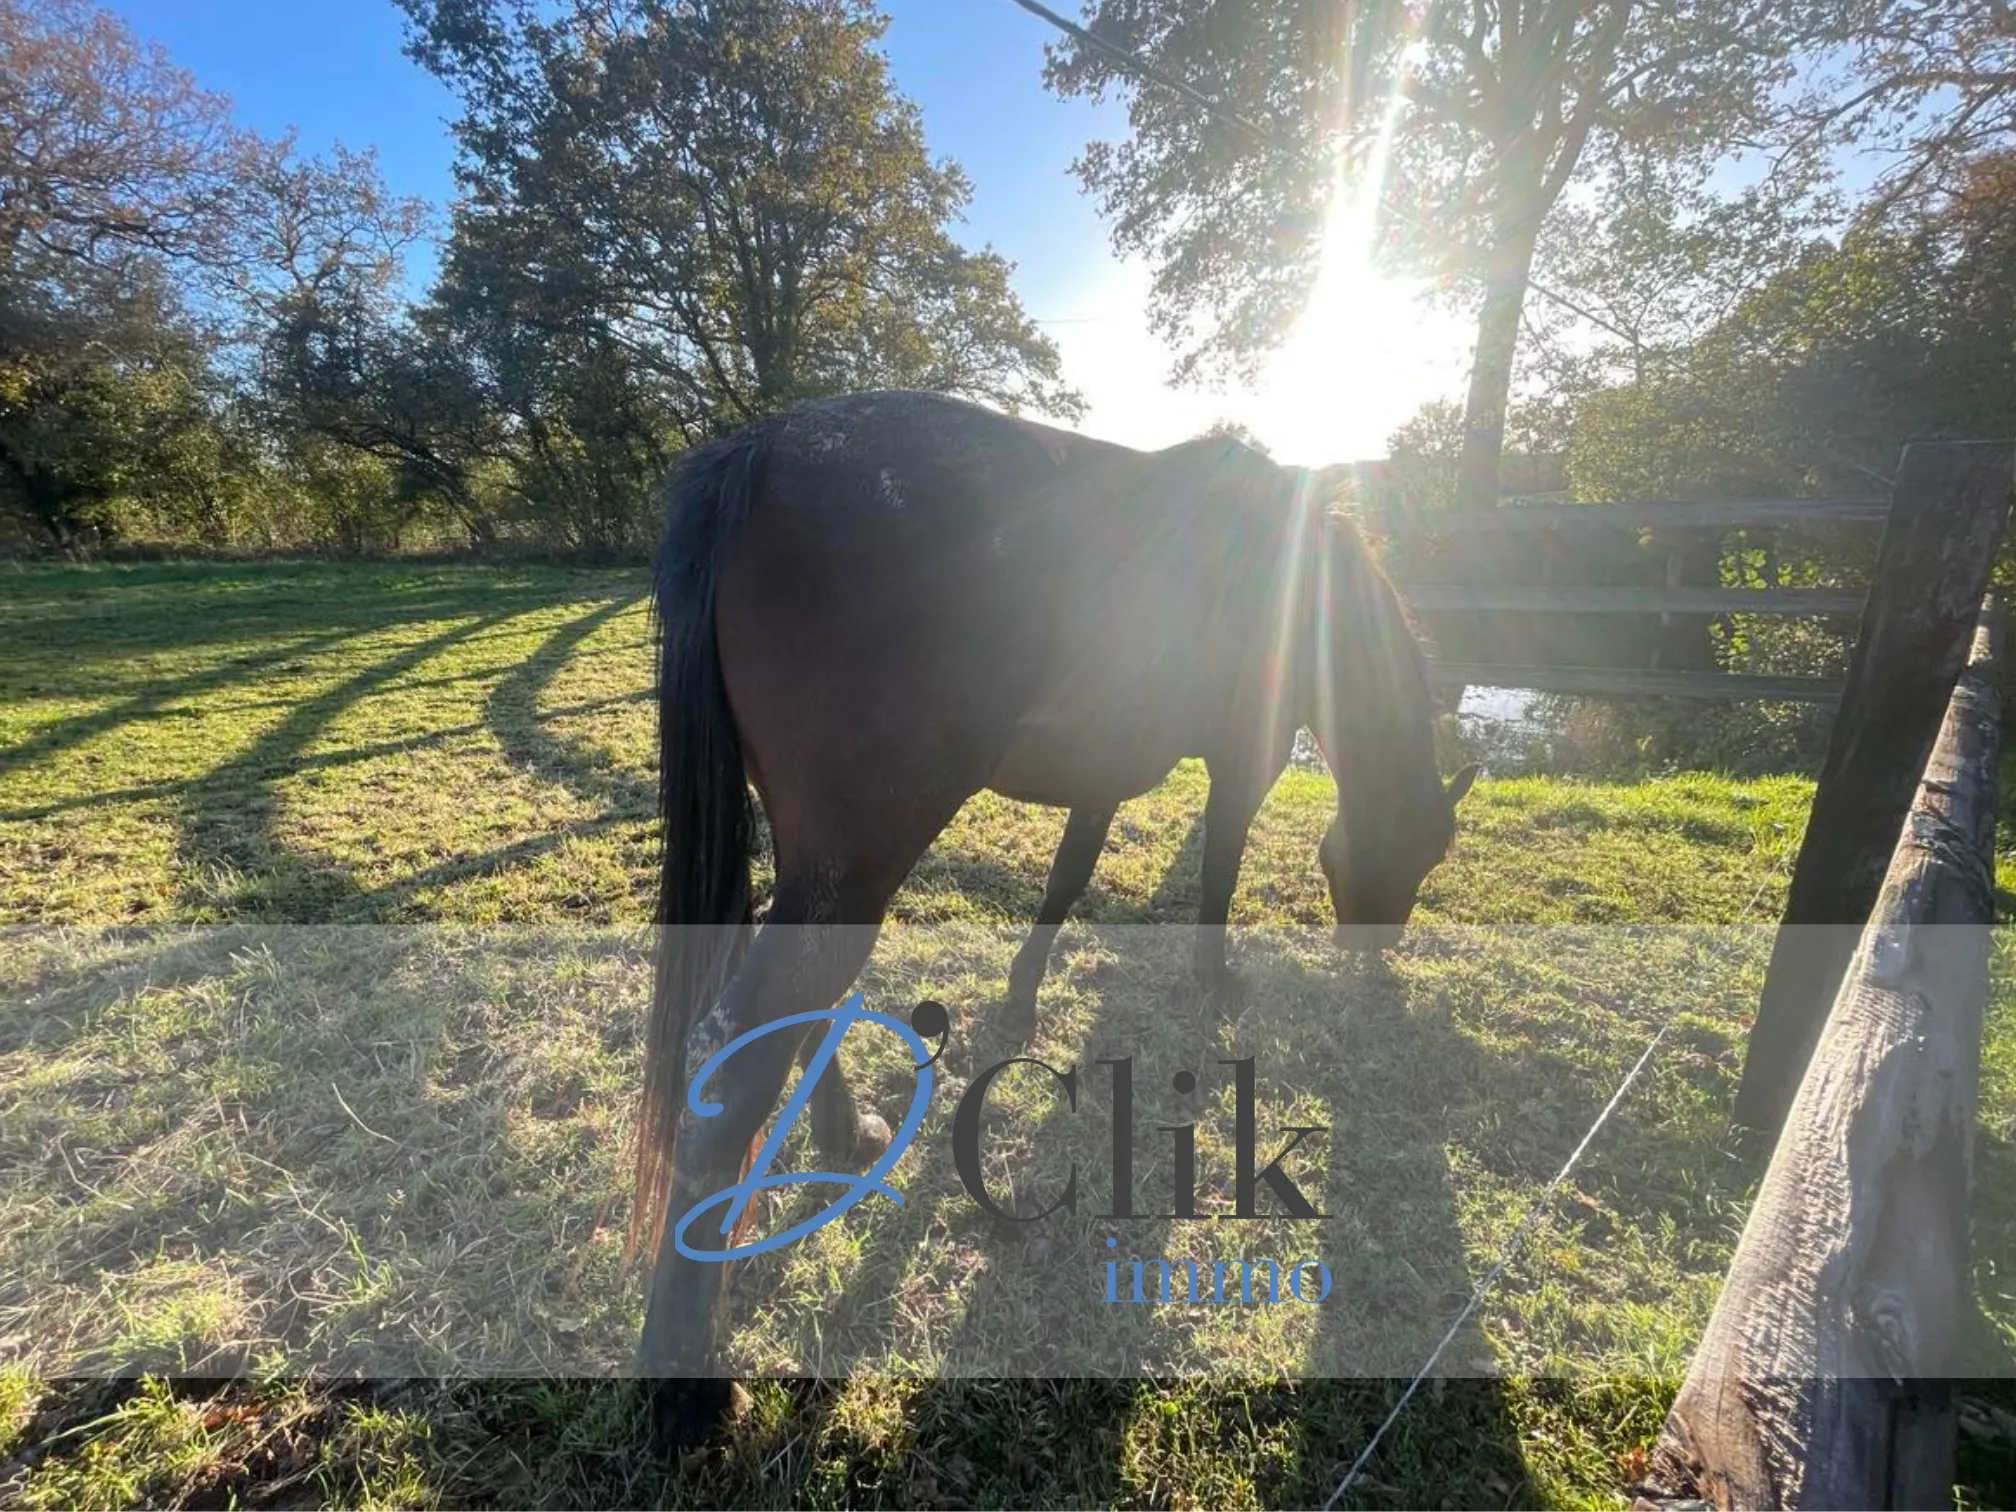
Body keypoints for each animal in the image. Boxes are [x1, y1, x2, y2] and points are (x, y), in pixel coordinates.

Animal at [637, 387, 1475, 1435]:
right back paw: (687, 1385)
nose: (1376, 954)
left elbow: (1067, 880)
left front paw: (1021, 999)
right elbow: (1217, 873)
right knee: (734, 1053)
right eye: (1422, 851)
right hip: (857, 859)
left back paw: (843, 1133)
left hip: (816, 860)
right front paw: (1213, 982)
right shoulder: (1242, 762)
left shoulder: (1104, 776)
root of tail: (757, 453)